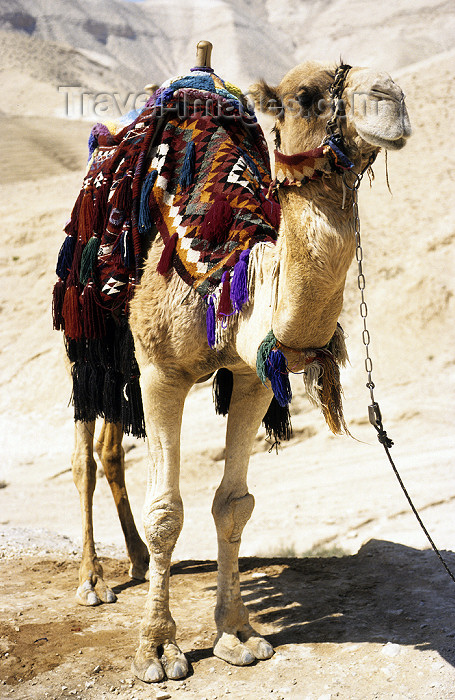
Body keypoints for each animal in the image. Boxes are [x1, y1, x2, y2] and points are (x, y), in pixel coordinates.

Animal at [67, 49, 414, 684]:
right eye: (306, 96)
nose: (390, 96)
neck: (231, 267)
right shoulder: (161, 371)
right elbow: (167, 511)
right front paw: (158, 650)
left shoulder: (253, 376)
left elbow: (233, 507)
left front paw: (237, 635)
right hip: (87, 341)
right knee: (84, 457)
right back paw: (93, 581)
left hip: (122, 365)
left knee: (109, 449)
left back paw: (136, 562)